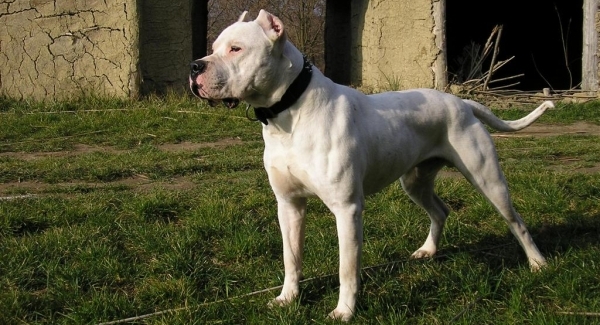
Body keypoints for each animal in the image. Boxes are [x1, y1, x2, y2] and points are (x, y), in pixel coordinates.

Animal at [190, 9, 552, 318]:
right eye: (214, 48)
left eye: (236, 49)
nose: (195, 66)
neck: (289, 113)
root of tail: (462, 103)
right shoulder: (289, 205)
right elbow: (291, 258)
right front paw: (287, 298)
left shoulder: (347, 209)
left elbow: (347, 268)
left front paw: (344, 311)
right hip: (415, 182)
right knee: (440, 210)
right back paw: (428, 250)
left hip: (486, 178)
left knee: (515, 221)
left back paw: (538, 263)